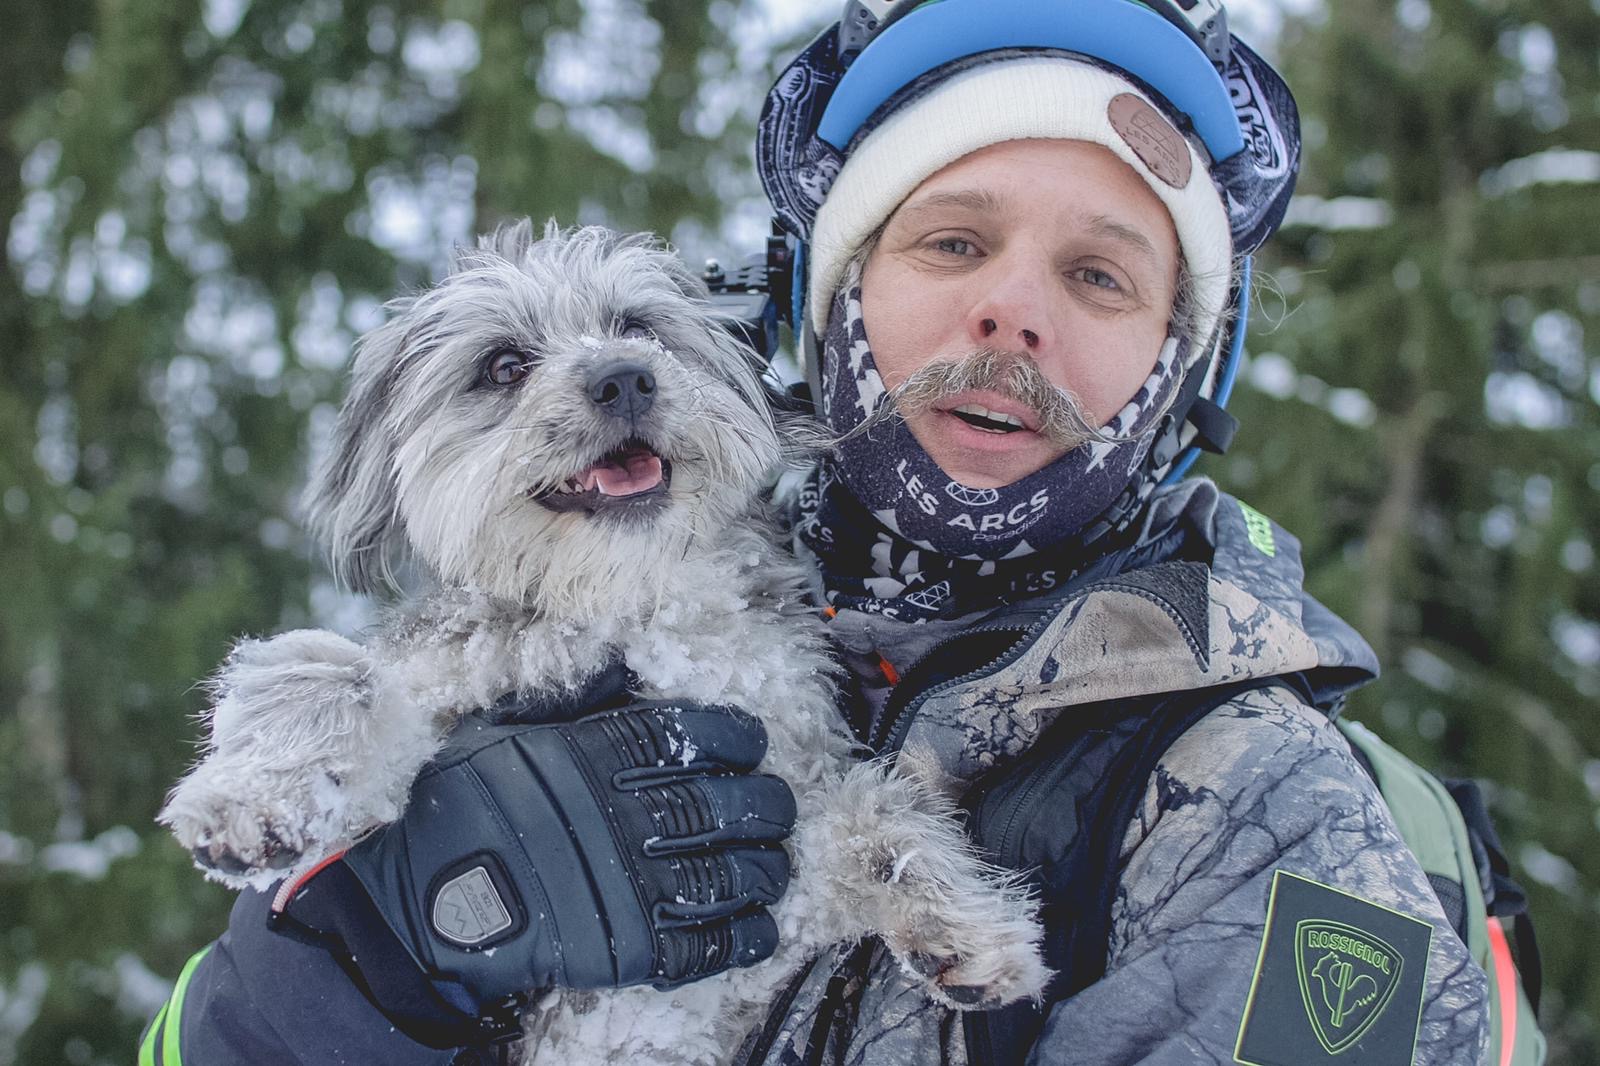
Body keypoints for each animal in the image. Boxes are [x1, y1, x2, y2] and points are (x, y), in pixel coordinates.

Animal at [162, 219, 1049, 1056]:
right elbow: (323, 679)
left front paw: (965, 929)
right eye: (504, 366)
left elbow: (875, 815)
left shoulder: (770, 839)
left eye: (637, 326)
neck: (626, 605)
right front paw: (252, 802)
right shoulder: (439, 683)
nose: (623, 375)